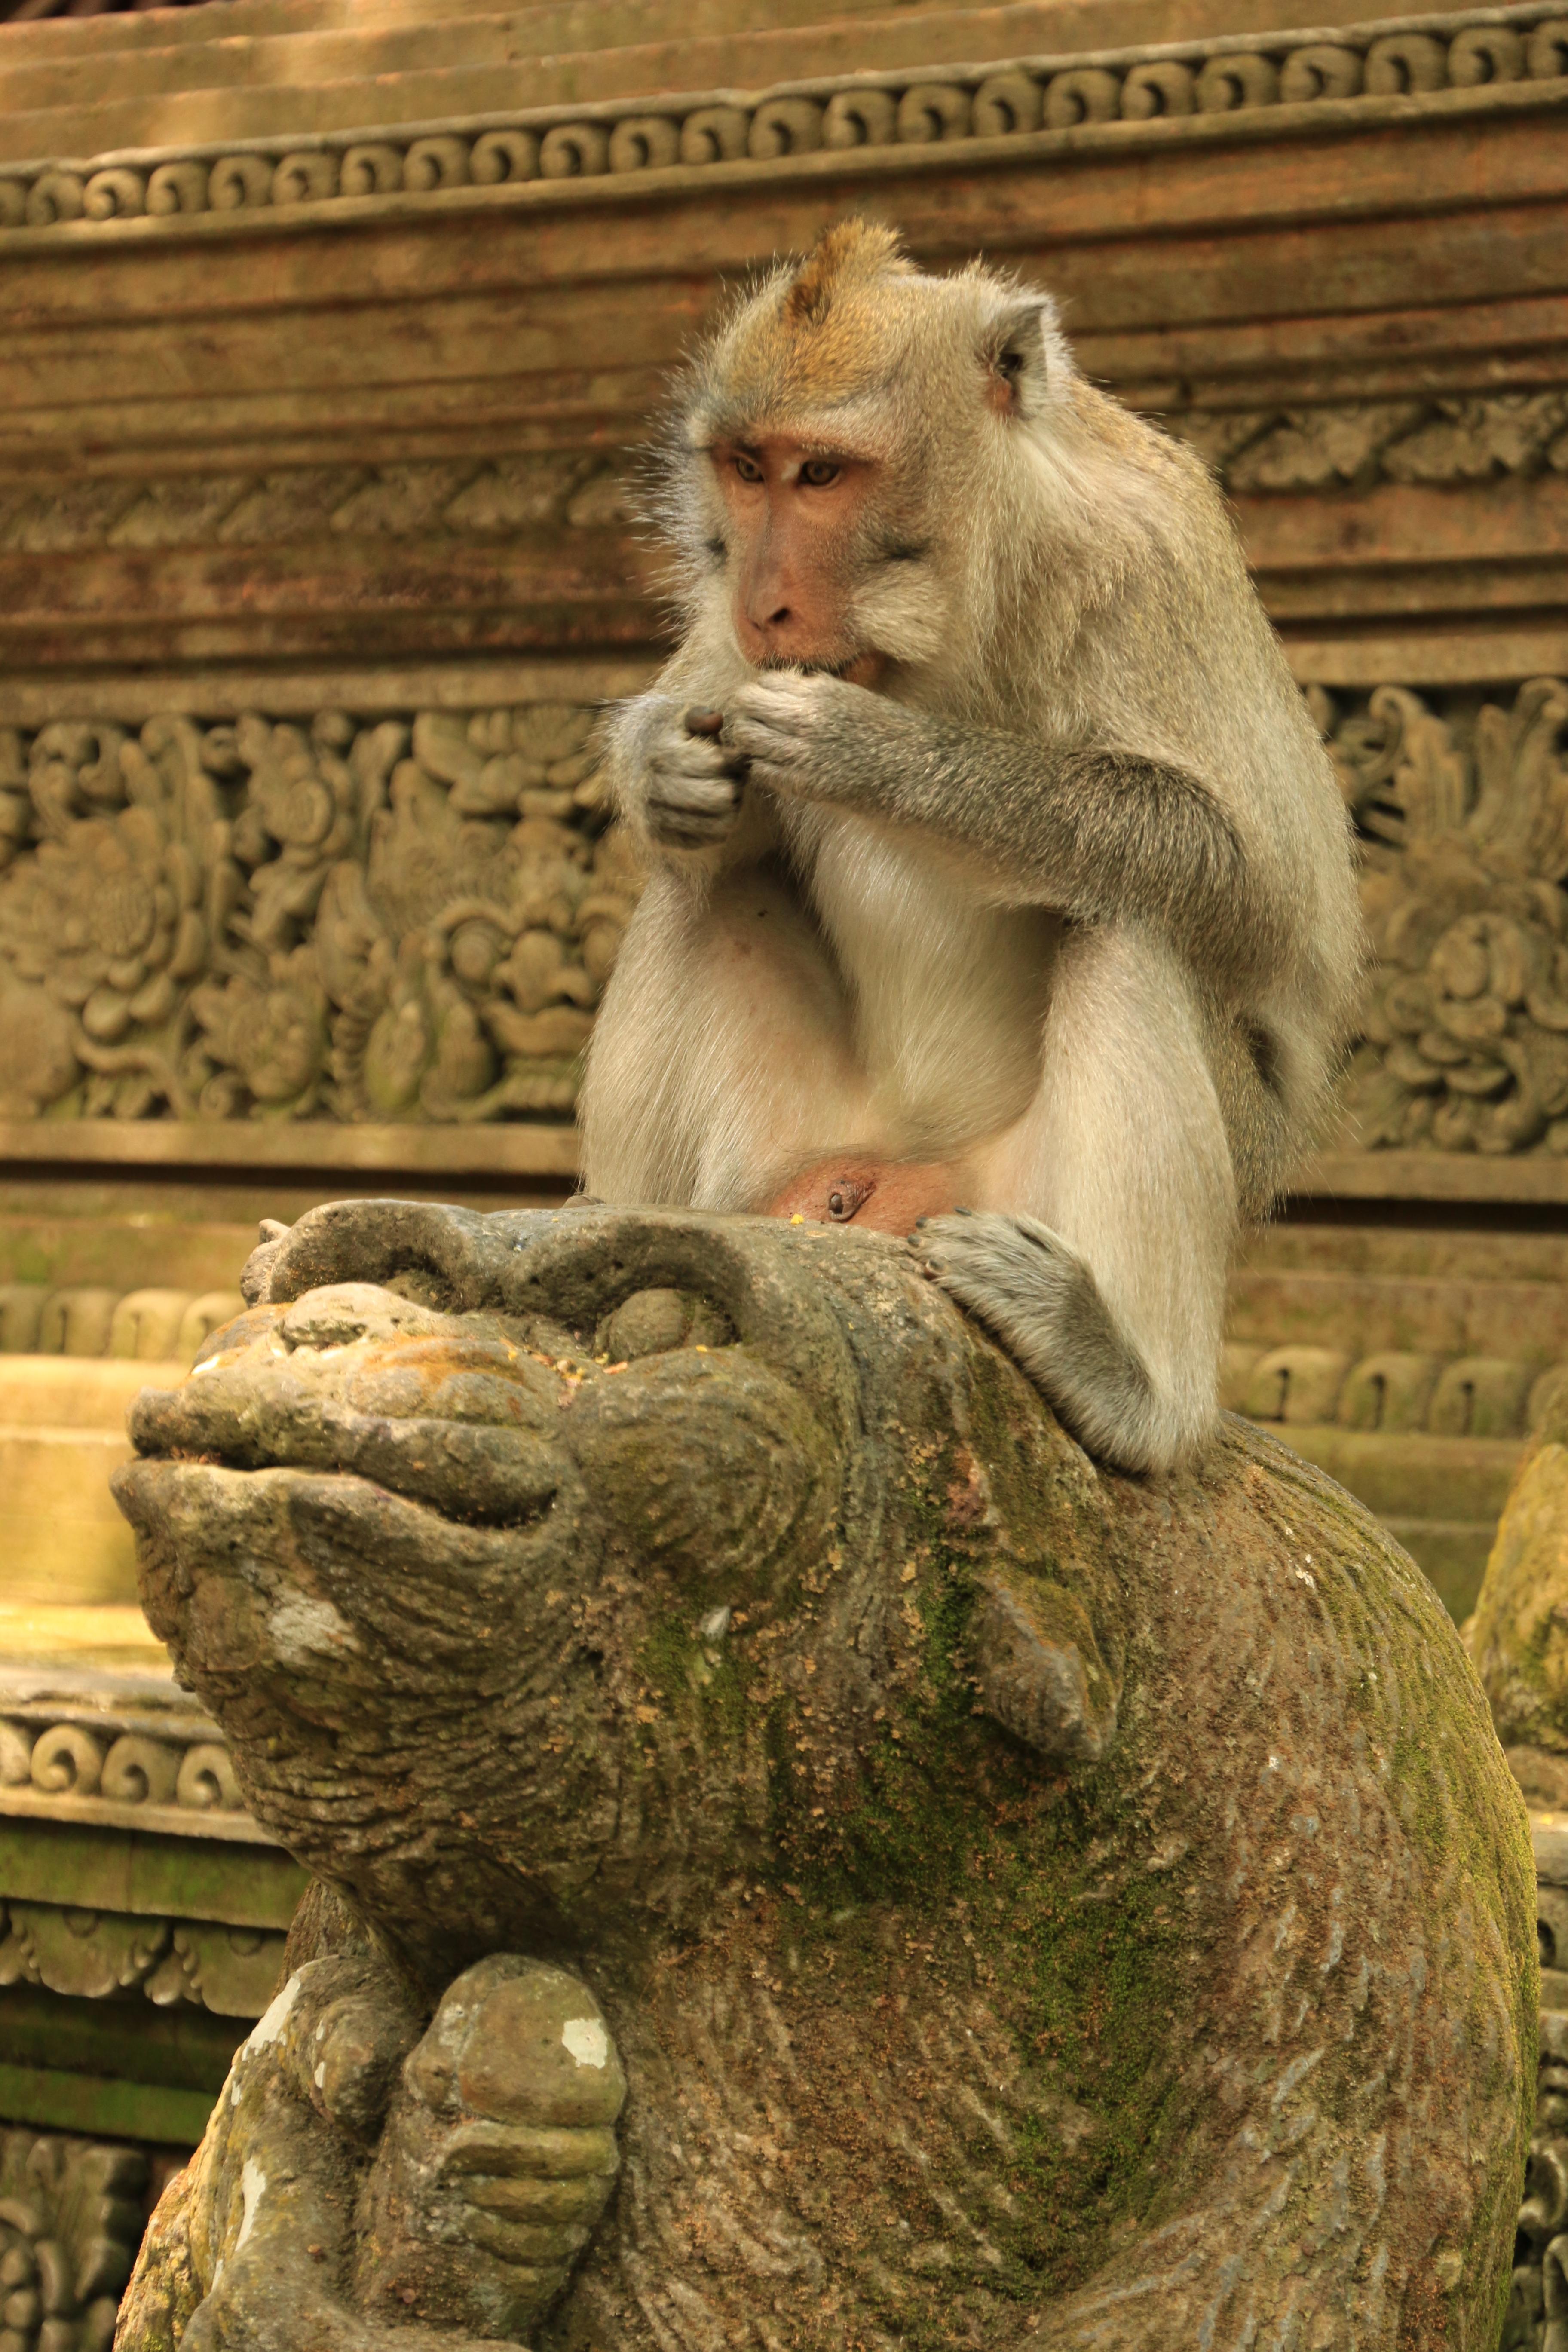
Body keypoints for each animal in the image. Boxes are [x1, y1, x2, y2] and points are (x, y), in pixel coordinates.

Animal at [578, 220, 1364, 1476]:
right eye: (747, 469)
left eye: (822, 474)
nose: (764, 605)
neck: (949, 612)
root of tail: (907, 1166)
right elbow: (700, 790)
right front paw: (664, 763)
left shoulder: (1150, 563)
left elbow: (1253, 889)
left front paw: (874, 752)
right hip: (794, 1152)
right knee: (703, 885)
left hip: (1020, 1191)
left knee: (1129, 923)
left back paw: (1128, 1380)